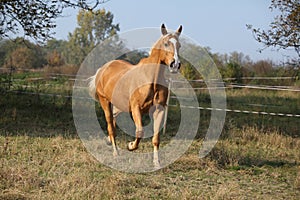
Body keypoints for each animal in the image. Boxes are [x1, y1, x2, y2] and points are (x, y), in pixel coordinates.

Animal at [88, 23, 182, 169]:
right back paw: (115, 152)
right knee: (110, 126)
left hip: (119, 105)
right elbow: (140, 131)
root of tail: (102, 70)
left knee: (114, 120)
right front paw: (131, 145)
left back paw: (109, 141)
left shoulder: (159, 110)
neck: (151, 78)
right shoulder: (136, 108)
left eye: (179, 45)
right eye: (166, 43)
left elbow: (156, 138)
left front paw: (157, 163)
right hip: (105, 102)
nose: (175, 65)